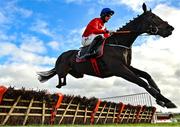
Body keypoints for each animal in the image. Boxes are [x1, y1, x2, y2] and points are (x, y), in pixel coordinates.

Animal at [37, 3, 176, 108]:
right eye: (153, 17)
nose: (171, 28)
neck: (119, 43)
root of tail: (61, 55)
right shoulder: (119, 69)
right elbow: (141, 82)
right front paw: (166, 101)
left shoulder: (126, 66)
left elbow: (147, 75)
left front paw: (162, 98)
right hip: (64, 70)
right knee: (60, 78)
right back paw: (59, 83)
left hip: (77, 74)